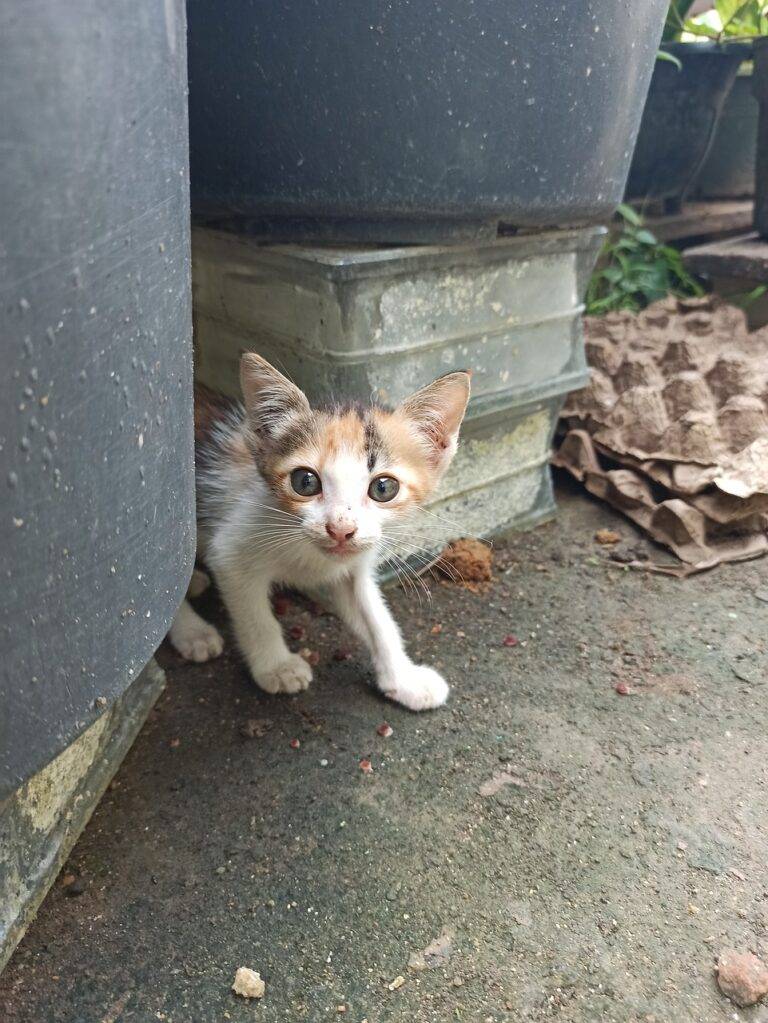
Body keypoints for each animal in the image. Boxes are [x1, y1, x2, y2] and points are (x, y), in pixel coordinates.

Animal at [167, 356, 468, 716]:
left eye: (384, 488)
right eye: (305, 482)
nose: (340, 529)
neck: (311, 554)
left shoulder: (352, 569)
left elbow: (378, 620)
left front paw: (403, 678)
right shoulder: (232, 551)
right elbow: (256, 617)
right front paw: (277, 667)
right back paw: (192, 632)